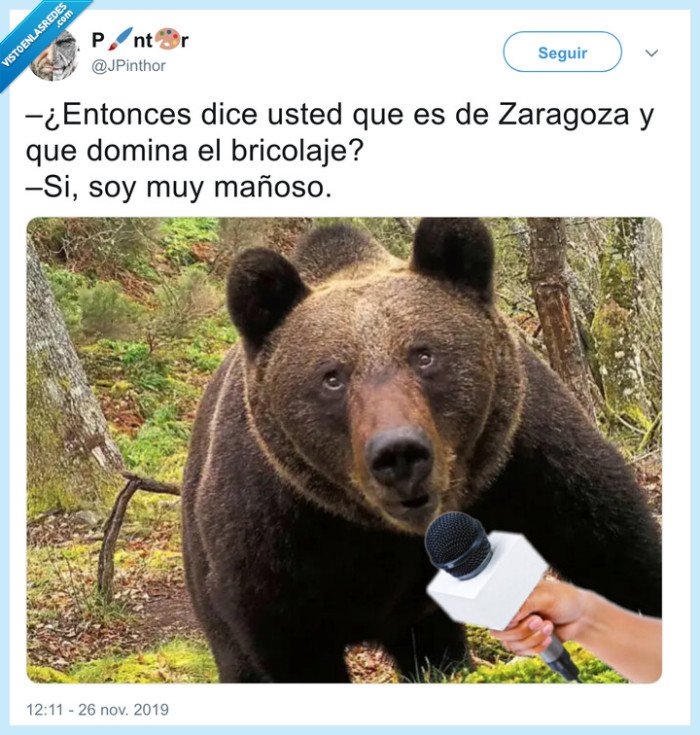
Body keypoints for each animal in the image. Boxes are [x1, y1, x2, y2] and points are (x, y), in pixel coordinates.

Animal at [181, 218, 661, 683]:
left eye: (423, 354)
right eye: (331, 376)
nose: (398, 454)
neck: (393, 534)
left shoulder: (524, 461)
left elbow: (617, 548)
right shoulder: (275, 531)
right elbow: (285, 643)